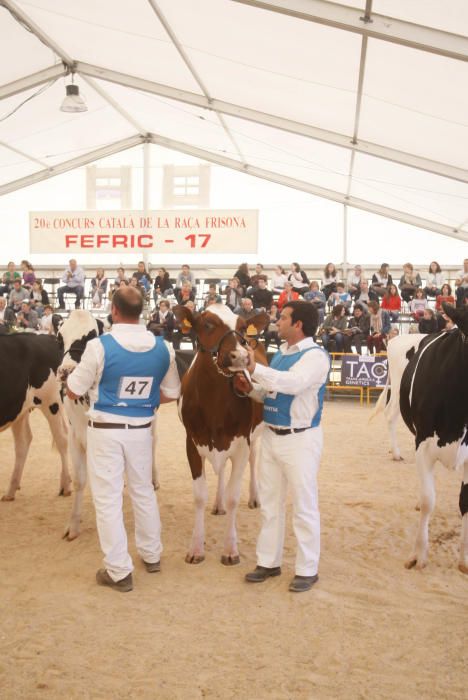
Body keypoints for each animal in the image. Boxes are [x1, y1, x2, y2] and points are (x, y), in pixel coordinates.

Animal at [0, 334, 70, 504]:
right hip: (19, 408)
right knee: (23, 441)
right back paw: (10, 491)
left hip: (51, 401)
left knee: (62, 438)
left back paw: (65, 486)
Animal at [173, 304, 268, 568]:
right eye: (207, 324)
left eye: (243, 327)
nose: (241, 356)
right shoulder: (192, 443)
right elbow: (199, 496)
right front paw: (196, 548)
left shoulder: (242, 443)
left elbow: (234, 497)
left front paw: (230, 550)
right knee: (222, 469)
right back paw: (218, 503)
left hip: (255, 436)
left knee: (254, 461)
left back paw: (255, 498)